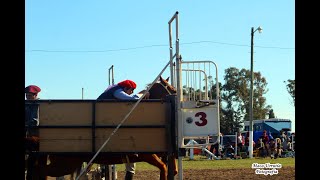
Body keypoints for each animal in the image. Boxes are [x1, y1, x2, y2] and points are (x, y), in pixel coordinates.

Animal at [25, 76, 178, 180]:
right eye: (172, 89)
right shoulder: (149, 155)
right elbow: (164, 167)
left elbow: (170, 166)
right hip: (65, 163)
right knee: (40, 172)